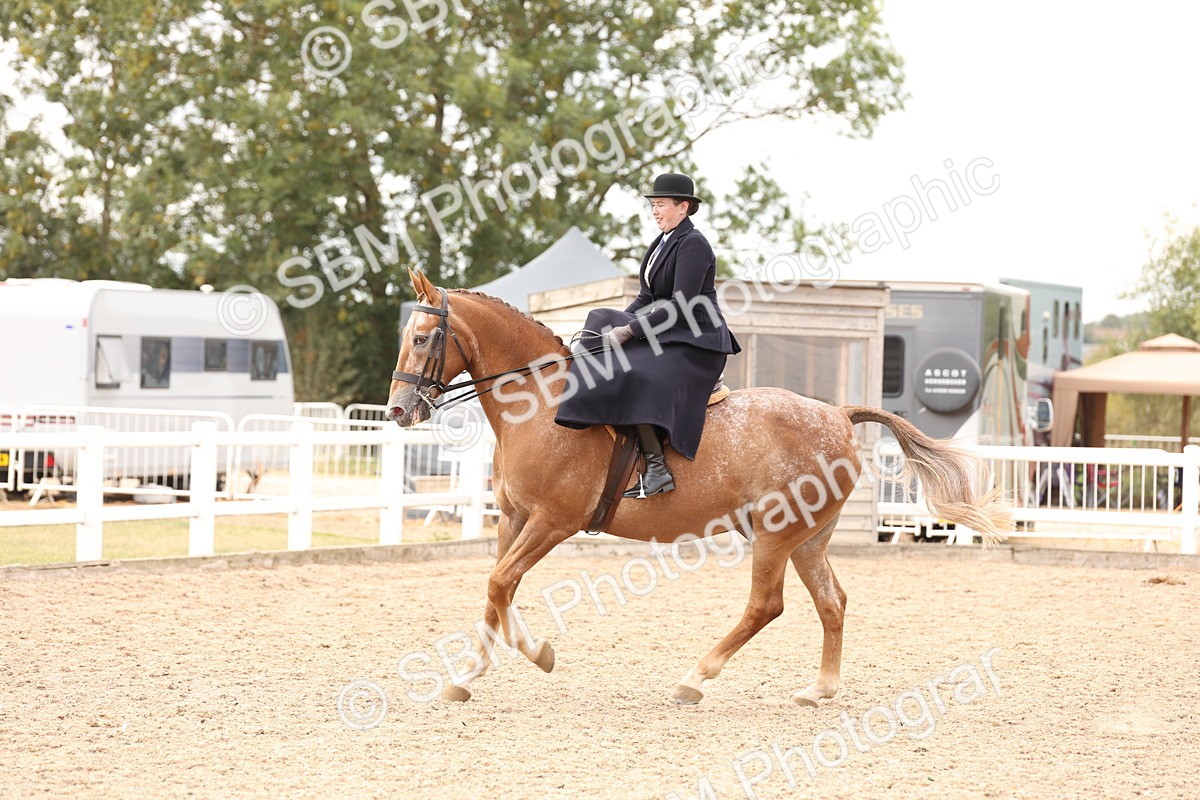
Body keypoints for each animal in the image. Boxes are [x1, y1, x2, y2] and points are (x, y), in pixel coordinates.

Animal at [386, 269, 1010, 706]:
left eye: (423, 338)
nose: (397, 411)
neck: (540, 402)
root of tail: (837, 413)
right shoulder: (514, 519)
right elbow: (497, 591)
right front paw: (467, 677)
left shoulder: (552, 522)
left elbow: (499, 584)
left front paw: (541, 655)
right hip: (809, 536)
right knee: (831, 601)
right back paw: (820, 688)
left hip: (777, 533)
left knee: (766, 605)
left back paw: (694, 679)